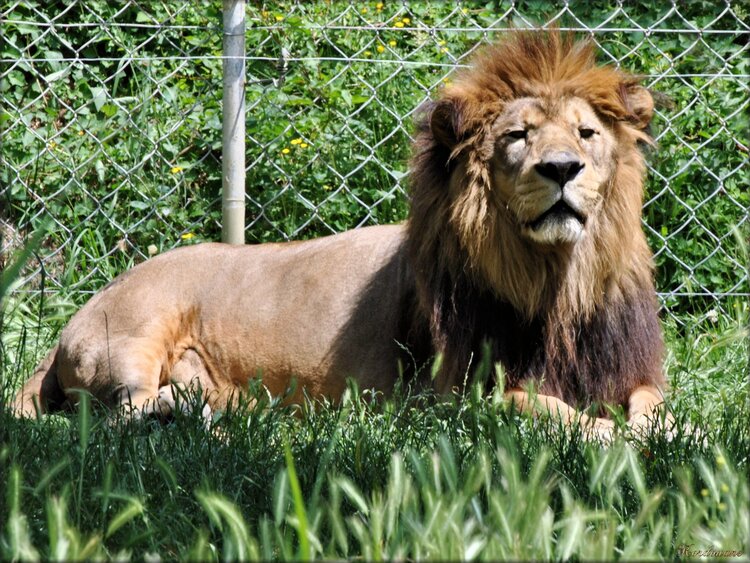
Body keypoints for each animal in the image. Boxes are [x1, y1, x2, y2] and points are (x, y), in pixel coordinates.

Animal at [11, 29, 668, 436]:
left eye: (586, 134)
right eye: (517, 136)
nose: (561, 169)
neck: (555, 281)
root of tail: (75, 321)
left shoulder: (628, 371)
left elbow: (656, 408)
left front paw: (665, 432)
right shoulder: (458, 393)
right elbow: (548, 408)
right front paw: (616, 436)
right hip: (135, 331)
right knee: (116, 412)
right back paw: (179, 414)